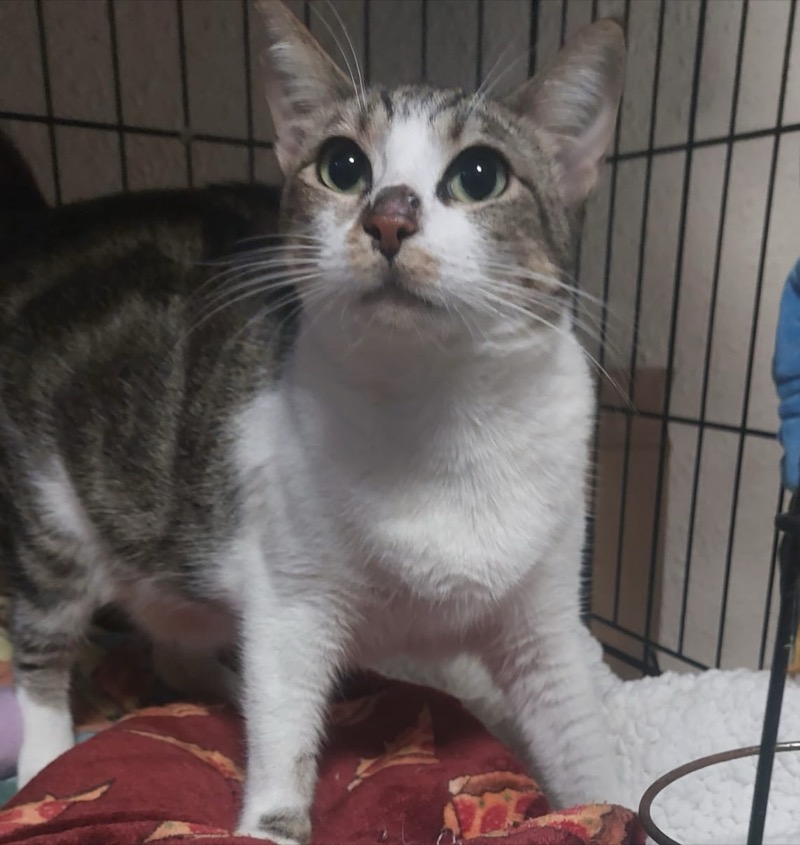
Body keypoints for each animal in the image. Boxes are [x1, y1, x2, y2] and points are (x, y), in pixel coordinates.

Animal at [0, 1, 626, 842]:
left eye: (481, 175)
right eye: (343, 165)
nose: (387, 216)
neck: (443, 412)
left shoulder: (545, 618)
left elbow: (582, 734)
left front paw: (615, 805)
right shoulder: (292, 595)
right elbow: (286, 727)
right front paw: (271, 817)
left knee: (177, 646)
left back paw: (224, 685)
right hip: (50, 515)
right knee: (45, 644)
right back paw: (47, 756)